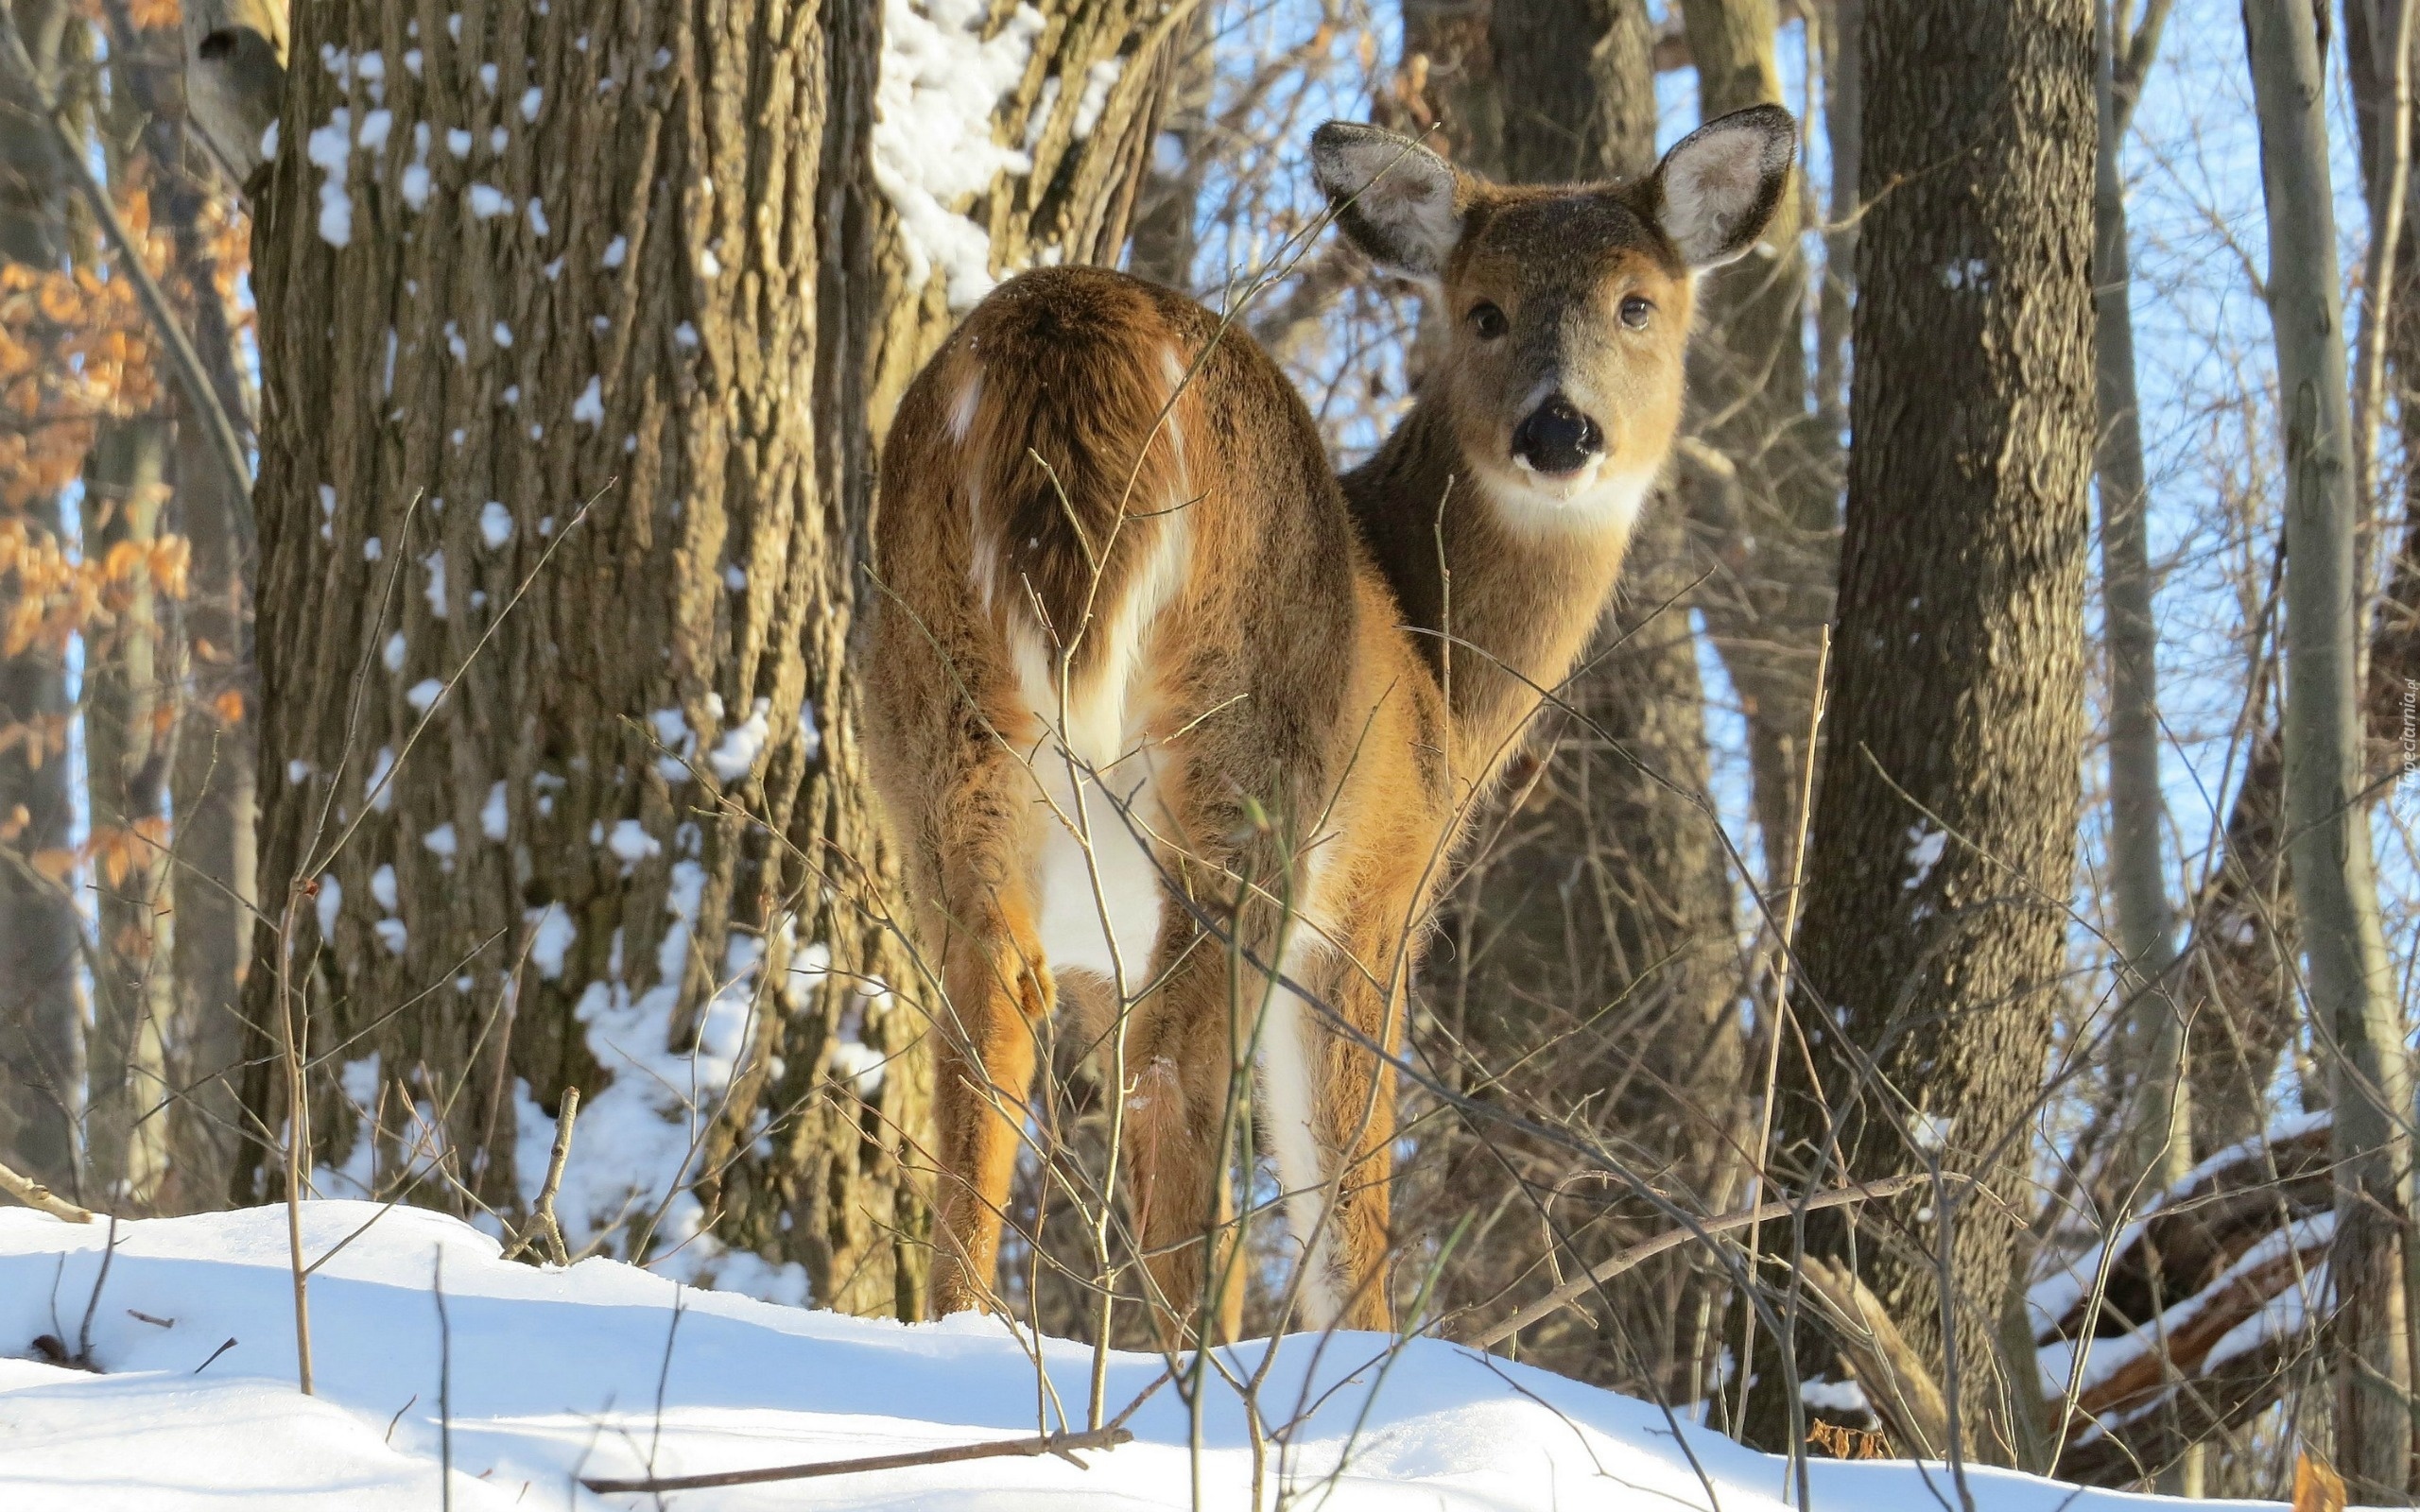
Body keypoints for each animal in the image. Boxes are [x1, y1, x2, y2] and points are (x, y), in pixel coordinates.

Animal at [866, 103, 1800, 1335]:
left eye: (1636, 303)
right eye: (1483, 309)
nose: (1559, 430)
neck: (1433, 661)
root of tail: (1065, 336)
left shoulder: (1098, 947)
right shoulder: (1377, 899)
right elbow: (1342, 1188)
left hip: (944, 732)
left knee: (984, 1027)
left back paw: (965, 1329)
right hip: (1253, 760)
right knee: (1178, 1071)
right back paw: (1186, 1362)